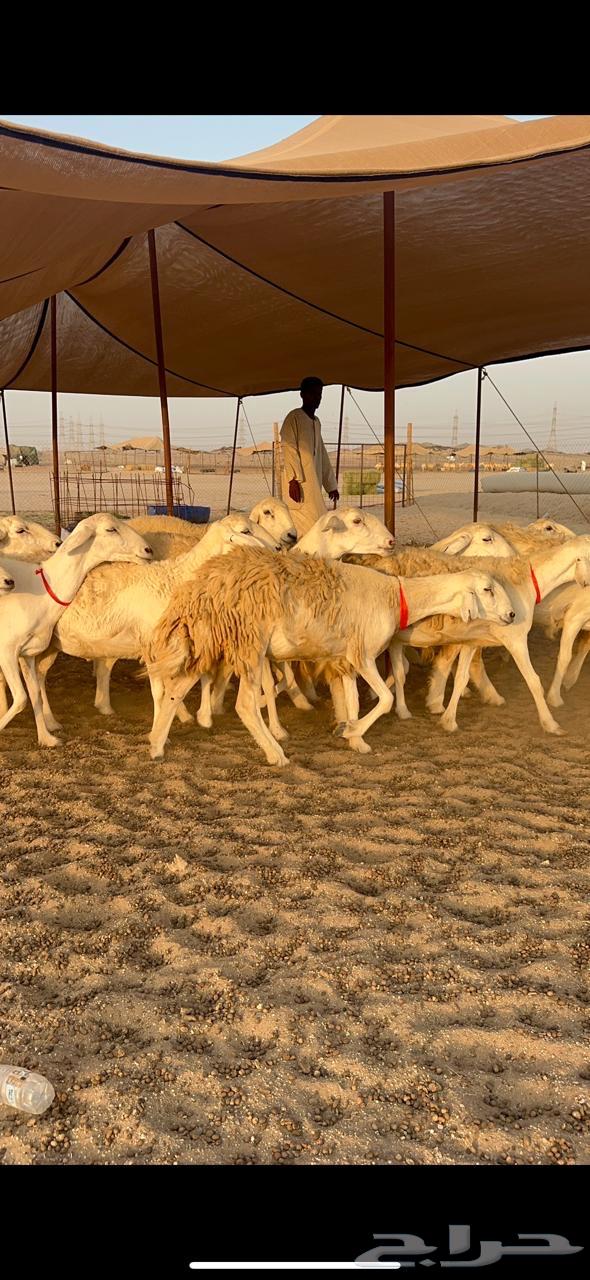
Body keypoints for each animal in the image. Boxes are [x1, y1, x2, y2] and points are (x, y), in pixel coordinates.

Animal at [0, 514, 153, 748]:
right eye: (110, 529)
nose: (148, 550)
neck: (43, 589)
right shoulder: (6, 650)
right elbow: (21, 698)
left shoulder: (27, 653)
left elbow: (33, 694)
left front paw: (47, 738)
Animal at [34, 515, 284, 735]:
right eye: (245, 531)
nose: (278, 549)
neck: (176, 578)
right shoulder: (153, 646)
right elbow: (160, 691)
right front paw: (162, 726)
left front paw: (196, 716)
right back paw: (49, 721)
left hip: (50, 646)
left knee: (40, 676)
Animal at [146, 548, 515, 764]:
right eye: (487, 589)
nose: (512, 615)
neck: (394, 594)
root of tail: (203, 587)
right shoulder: (363, 654)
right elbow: (383, 699)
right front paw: (349, 732)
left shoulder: (346, 659)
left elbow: (353, 699)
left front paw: (355, 738)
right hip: (249, 643)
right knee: (245, 705)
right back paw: (276, 753)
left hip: (210, 640)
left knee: (176, 690)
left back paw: (157, 745)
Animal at [352, 538, 590, 732]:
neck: (525, 581)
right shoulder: (515, 639)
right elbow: (534, 681)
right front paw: (551, 722)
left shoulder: (472, 641)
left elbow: (461, 678)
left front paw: (448, 721)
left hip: (397, 638)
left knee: (402, 669)